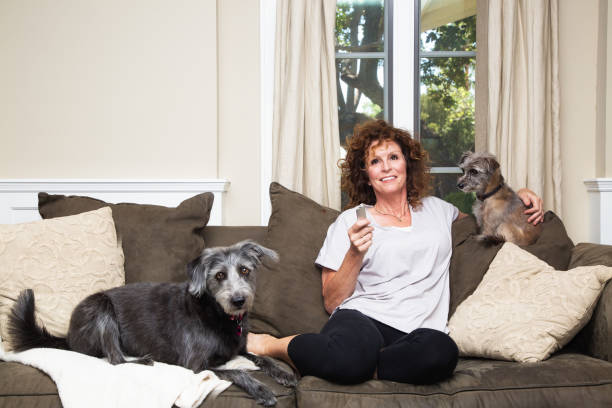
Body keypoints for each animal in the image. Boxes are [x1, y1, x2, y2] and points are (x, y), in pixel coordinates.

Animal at [8, 239, 296, 404]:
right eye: (219, 275)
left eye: (245, 270)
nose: (238, 300)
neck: (217, 314)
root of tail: (67, 334)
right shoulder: (195, 365)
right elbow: (238, 371)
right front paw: (261, 390)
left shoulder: (239, 348)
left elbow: (262, 358)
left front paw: (283, 374)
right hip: (102, 310)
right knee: (115, 359)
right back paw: (142, 360)